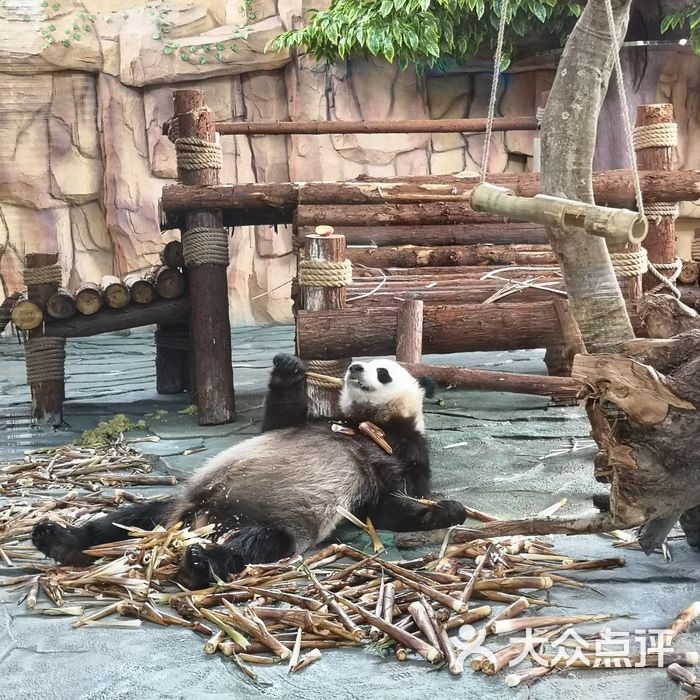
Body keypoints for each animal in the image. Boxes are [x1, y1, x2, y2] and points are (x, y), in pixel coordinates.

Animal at [34, 352, 470, 588]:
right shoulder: (311, 422)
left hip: (271, 521)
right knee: (127, 519)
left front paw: (446, 510)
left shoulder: (404, 450)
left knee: (255, 545)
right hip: (177, 504)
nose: (355, 369)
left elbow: (391, 503)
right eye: (361, 361)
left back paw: (199, 564)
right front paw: (290, 367)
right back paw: (58, 537)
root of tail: (199, 520)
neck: (364, 423)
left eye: (384, 372)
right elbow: (278, 419)